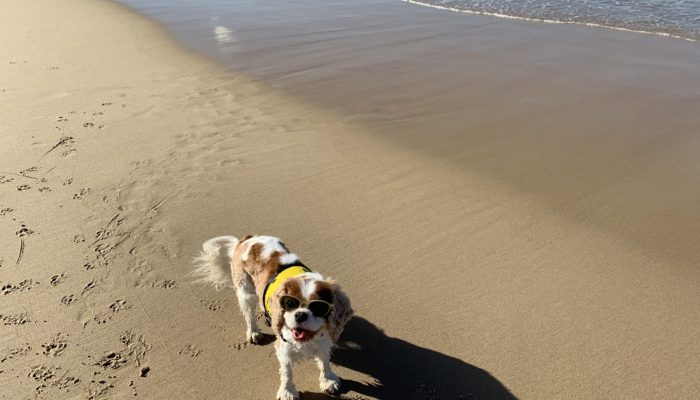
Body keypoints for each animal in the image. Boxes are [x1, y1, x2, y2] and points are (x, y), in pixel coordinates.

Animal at [191, 236, 352, 398]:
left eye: (318, 307)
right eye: (289, 303)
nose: (300, 315)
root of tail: (247, 239)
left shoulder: (324, 341)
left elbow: (324, 362)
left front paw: (328, 380)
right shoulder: (284, 347)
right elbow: (287, 373)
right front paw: (287, 391)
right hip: (245, 292)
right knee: (249, 315)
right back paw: (254, 332)